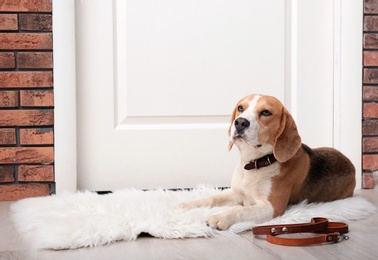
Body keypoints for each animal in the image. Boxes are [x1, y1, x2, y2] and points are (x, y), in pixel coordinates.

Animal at [179, 93, 354, 230]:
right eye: (241, 108)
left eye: (265, 112)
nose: (240, 122)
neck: (253, 164)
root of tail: (351, 164)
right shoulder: (236, 193)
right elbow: (212, 198)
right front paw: (184, 205)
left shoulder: (272, 207)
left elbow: (240, 210)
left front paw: (220, 217)